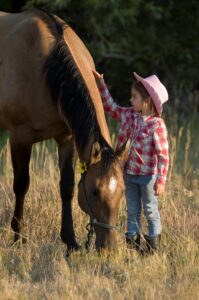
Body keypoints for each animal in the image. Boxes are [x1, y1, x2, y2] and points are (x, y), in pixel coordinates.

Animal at [0, 9, 129, 251]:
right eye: (94, 191)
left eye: (123, 191)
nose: (108, 248)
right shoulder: (20, 137)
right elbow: (21, 185)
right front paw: (18, 237)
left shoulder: (67, 138)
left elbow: (66, 187)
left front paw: (70, 240)